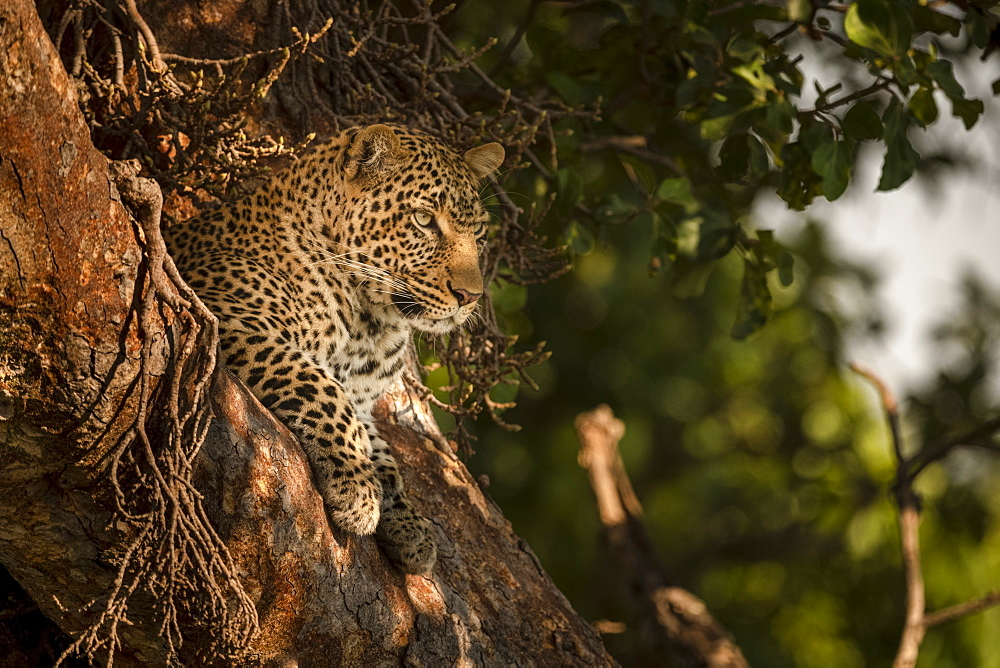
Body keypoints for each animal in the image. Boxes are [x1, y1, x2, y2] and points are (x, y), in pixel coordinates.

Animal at [166, 125, 508, 576]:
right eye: (423, 220)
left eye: (479, 234)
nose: (470, 297)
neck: (371, 323)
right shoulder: (223, 316)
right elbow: (321, 388)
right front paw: (357, 488)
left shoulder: (364, 402)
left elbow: (384, 453)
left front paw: (408, 523)